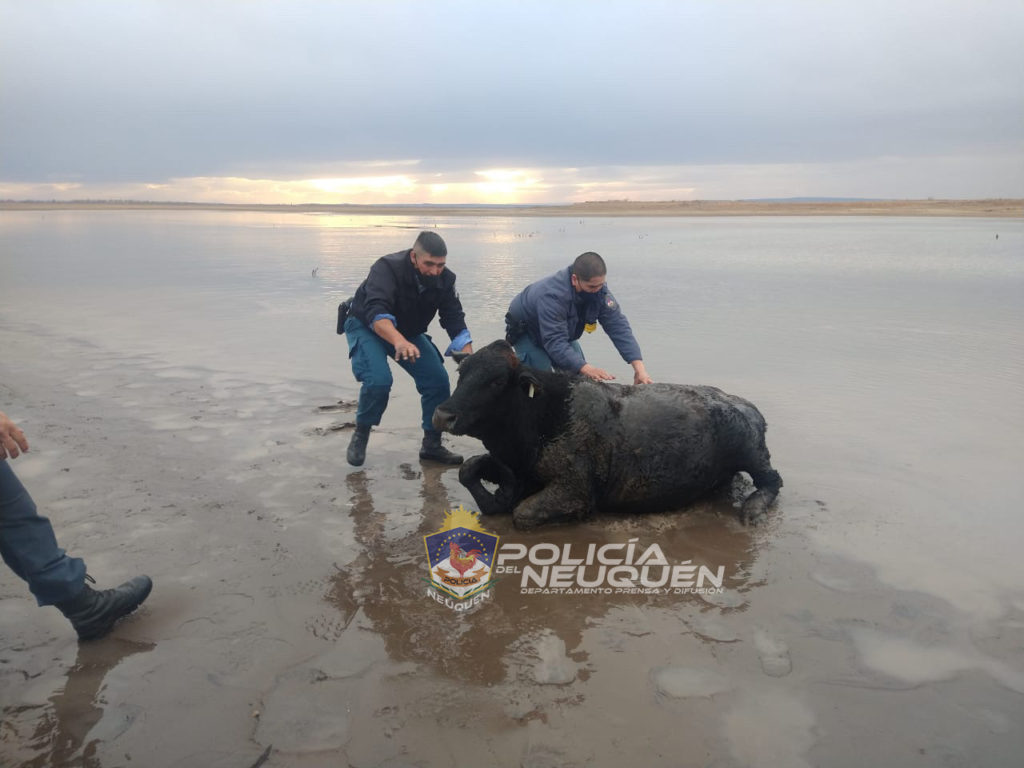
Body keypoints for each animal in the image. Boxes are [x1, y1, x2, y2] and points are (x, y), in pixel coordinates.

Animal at [432, 342, 782, 528]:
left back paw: (752, 509)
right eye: (462, 374)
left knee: (772, 481)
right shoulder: (512, 465)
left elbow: (522, 513)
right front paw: (499, 496)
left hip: (752, 453)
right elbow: (468, 469)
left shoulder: (575, 492)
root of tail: (743, 404)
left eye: (495, 381)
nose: (443, 415)